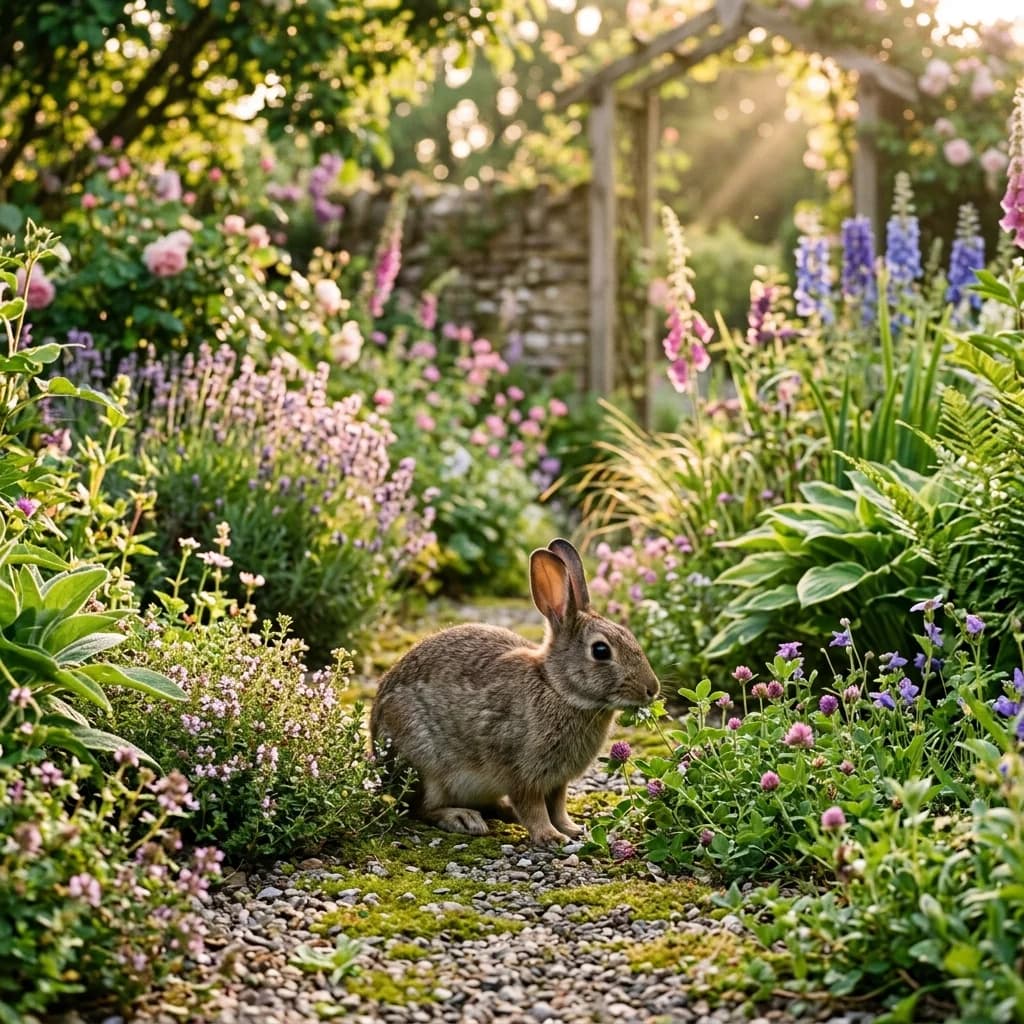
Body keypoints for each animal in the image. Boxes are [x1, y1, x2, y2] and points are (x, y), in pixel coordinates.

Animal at [370, 538, 660, 846]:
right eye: (601, 651)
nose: (652, 689)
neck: (556, 687)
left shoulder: (557, 782)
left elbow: (557, 806)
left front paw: (571, 829)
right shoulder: (522, 773)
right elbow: (533, 808)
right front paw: (551, 837)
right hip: (424, 766)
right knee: (420, 807)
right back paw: (463, 818)